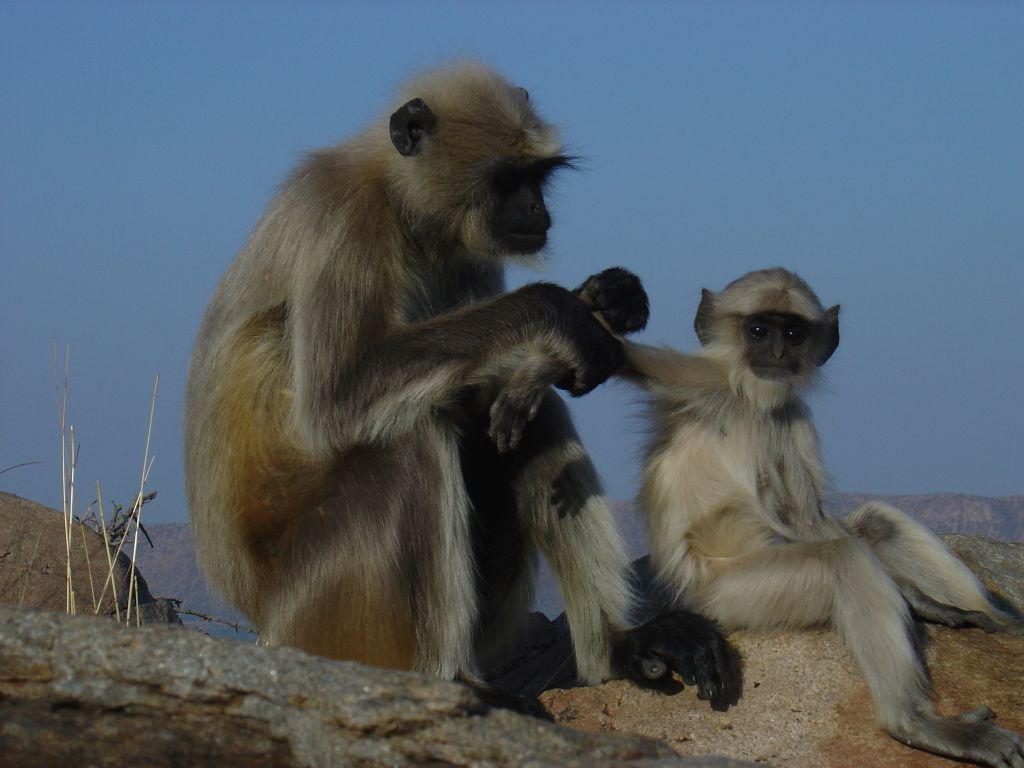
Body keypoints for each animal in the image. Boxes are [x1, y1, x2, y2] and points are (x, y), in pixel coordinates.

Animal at [186, 63, 745, 712]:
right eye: (507, 181)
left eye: (537, 178)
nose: (535, 207)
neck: (401, 204)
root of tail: (259, 618)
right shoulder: (343, 218)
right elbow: (338, 400)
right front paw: (559, 311)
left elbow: (493, 391)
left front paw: (607, 300)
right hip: (320, 614)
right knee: (408, 441)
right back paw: (451, 680)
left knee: (518, 414)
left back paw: (620, 645)